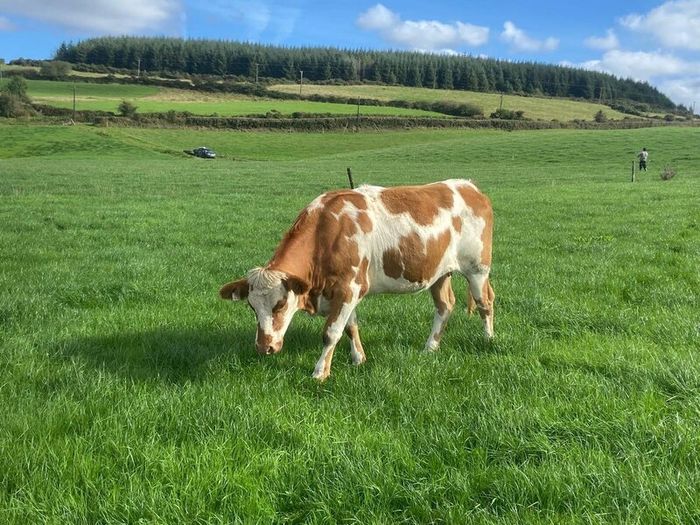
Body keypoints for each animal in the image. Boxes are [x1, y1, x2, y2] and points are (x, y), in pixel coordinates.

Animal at [219, 179, 494, 381]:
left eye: (280, 304)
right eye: (251, 306)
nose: (264, 347)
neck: (326, 232)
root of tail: (468, 186)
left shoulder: (349, 288)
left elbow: (331, 332)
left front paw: (320, 372)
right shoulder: (344, 292)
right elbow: (350, 327)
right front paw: (358, 359)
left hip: (477, 268)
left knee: (485, 303)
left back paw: (488, 340)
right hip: (439, 272)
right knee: (445, 306)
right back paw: (430, 347)